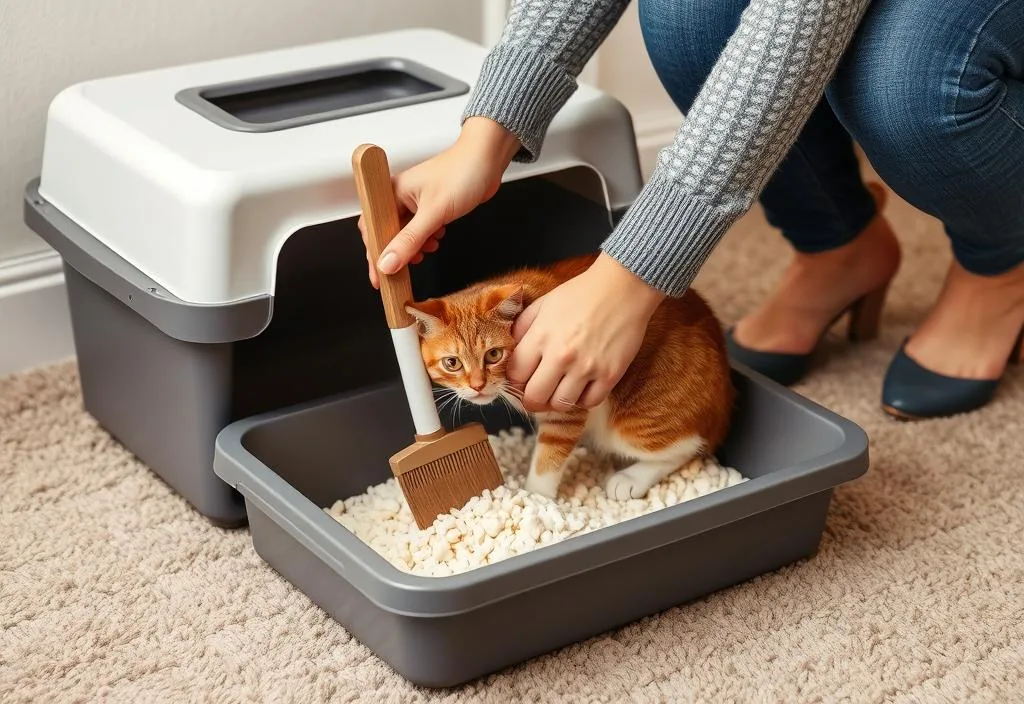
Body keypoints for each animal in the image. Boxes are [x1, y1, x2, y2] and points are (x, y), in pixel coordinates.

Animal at [403, 252, 733, 501]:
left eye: (493, 355)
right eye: (452, 363)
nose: (477, 385)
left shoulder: (566, 406)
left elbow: (547, 460)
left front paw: (536, 499)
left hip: (635, 422)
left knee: (690, 447)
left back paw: (631, 478)